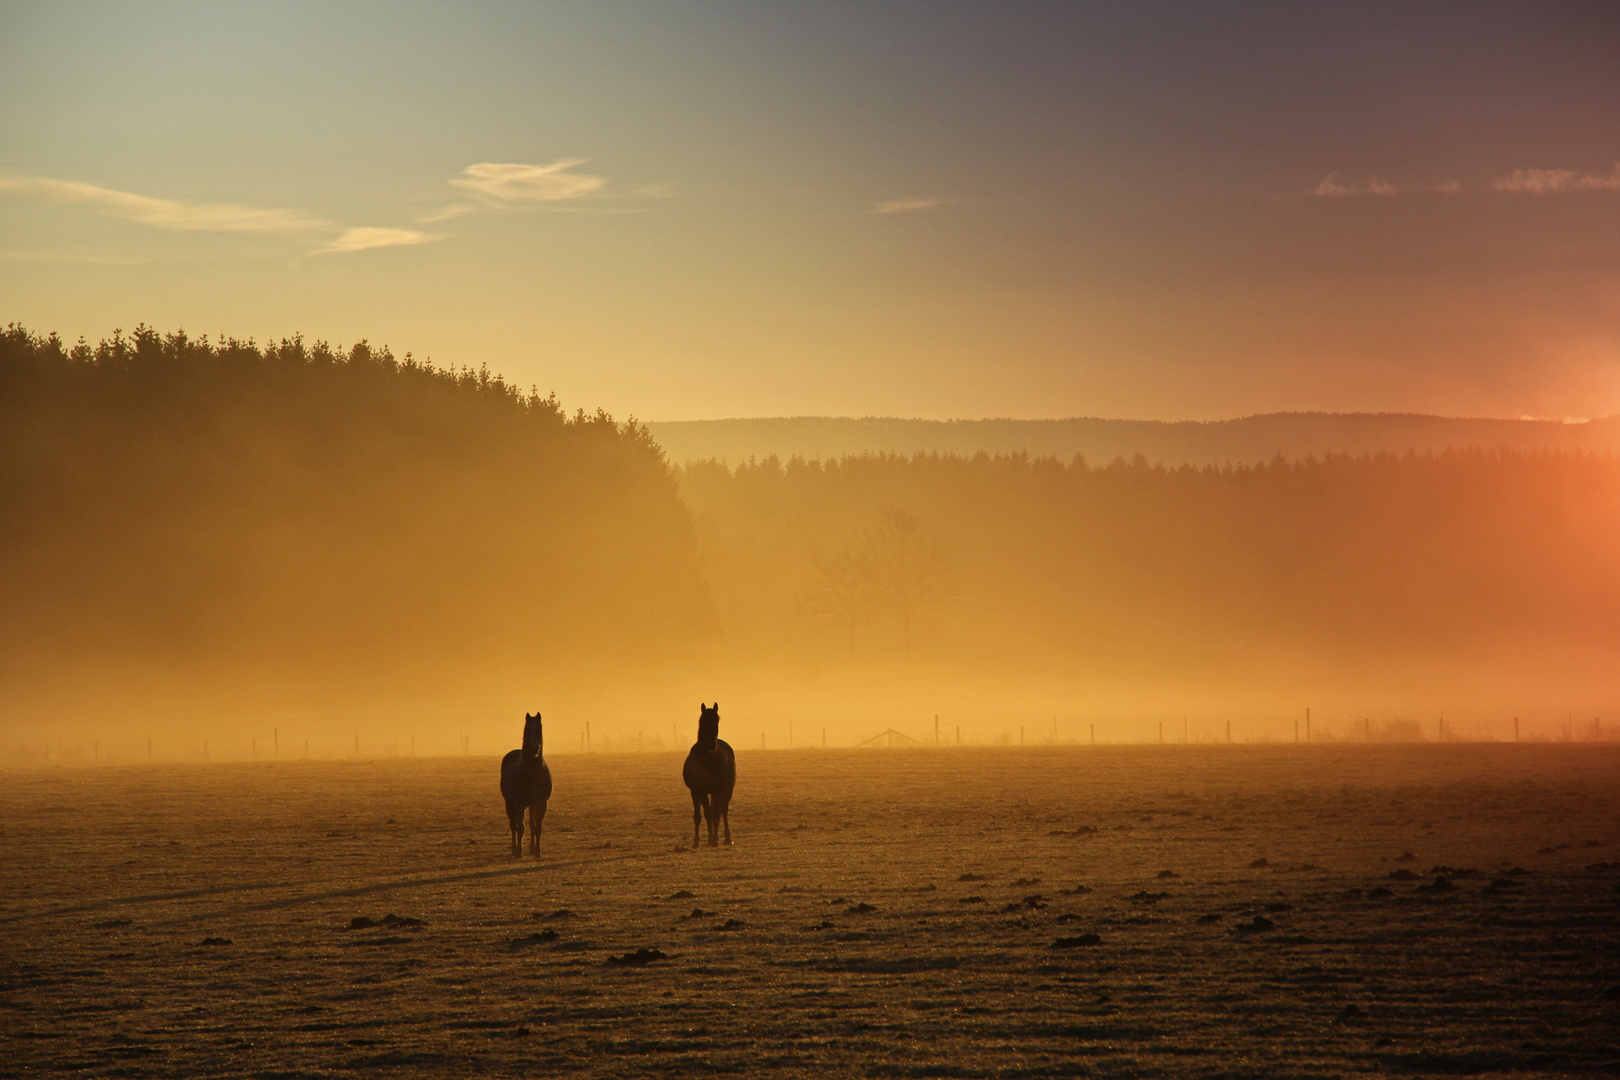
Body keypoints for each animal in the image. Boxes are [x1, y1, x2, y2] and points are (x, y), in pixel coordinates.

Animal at [495, 712, 554, 854]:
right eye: (527, 729)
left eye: (540, 728)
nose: (535, 748)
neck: (532, 773)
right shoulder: (519, 803)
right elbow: (520, 827)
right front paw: (519, 852)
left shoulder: (541, 803)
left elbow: (537, 827)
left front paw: (537, 851)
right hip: (509, 803)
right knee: (513, 824)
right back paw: (514, 849)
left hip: (531, 805)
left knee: (531, 824)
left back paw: (532, 848)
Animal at [680, 705, 738, 848]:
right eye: (703, 721)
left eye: (717, 720)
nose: (712, 744)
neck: (706, 760)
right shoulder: (696, 791)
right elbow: (699, 815)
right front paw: (697, 841)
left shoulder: (718, 790)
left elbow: (716, 814)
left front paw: (715, 840)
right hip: (706, 792)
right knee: (709, 811)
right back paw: (710, 838)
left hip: (728, 790)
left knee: (723, 810)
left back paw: (727, 838)